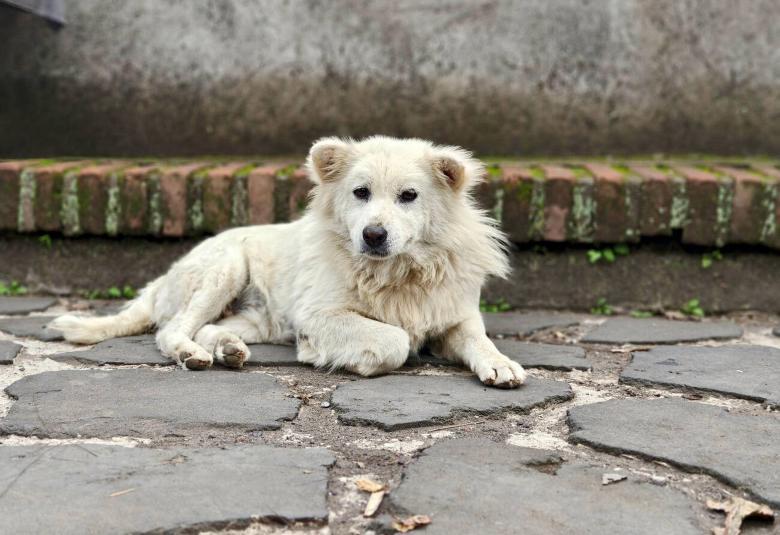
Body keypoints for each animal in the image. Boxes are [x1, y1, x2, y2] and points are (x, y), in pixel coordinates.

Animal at [50, 137, 532, 390]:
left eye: (409, 196)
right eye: (360, 193)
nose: (373, 235)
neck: (396, 273)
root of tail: (162, 280)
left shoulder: (454, 315)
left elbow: (478, 339)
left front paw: (499, 363)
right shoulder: (318, 316)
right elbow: (393, 340)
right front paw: (354, 359)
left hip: (258, 319)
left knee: (206, 328)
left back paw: (227, 349)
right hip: (225, 268)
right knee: (172, 331)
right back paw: (194, 354)